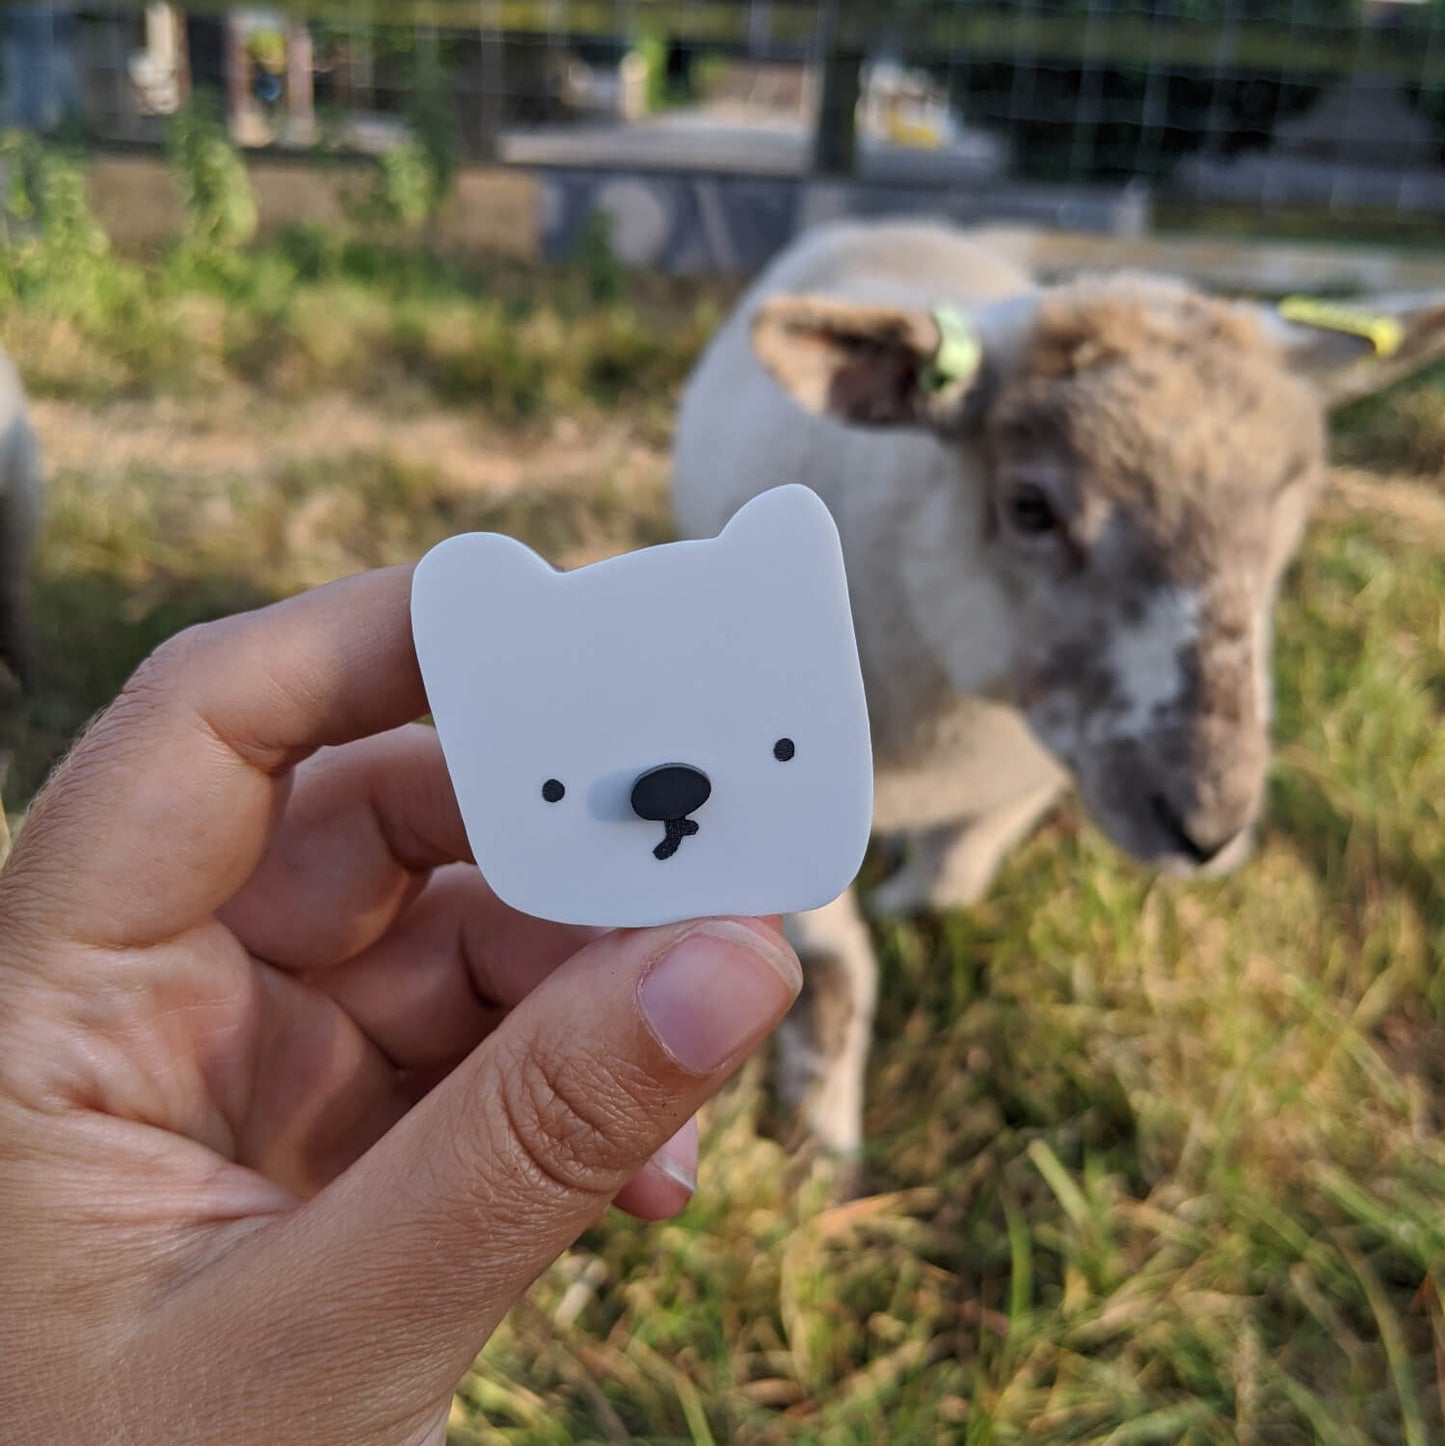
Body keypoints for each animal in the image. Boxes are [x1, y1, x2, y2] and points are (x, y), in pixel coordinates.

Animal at [674, 219, 1445, 1168]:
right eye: (1032, 506)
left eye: (1286, 509)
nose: (1208, 828)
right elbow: (833, 965)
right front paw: (821, 1136)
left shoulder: (1029, 772)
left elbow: (951, 881)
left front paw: (899, 902)